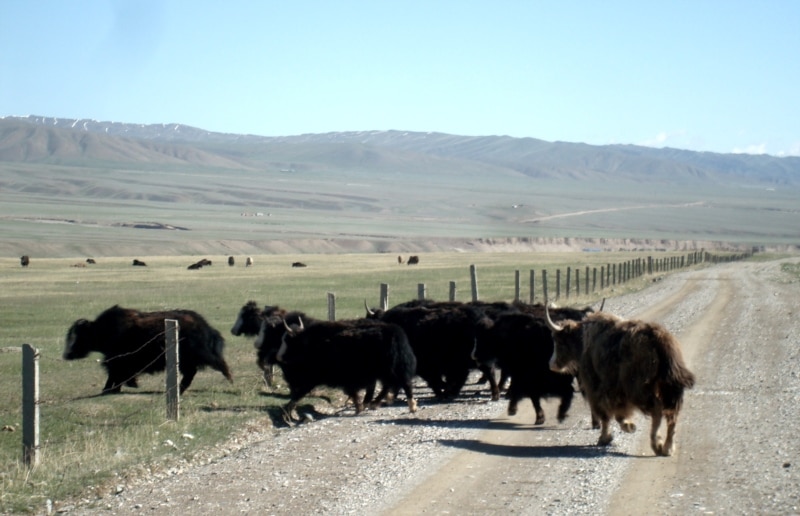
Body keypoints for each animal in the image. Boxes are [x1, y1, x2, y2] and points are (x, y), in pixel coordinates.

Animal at [64, 305, 233, 395]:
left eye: (80, 337)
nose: (67, 355)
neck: (102, 330)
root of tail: (205, 326)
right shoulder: (117, 361)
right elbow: (116, 374)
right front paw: (113, 388)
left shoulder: (118, 359)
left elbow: (115, 373)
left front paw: (111, 389)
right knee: (192, 372)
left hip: (195, 356)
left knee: (215, 364)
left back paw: (229, 379)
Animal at [274, 317, 417, 422]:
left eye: (287, 340)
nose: (278, 357)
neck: (309, 344)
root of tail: (395, 332)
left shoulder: (316, 378)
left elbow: (300, 393)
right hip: (390, 370)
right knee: (395, 384)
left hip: (388, 370)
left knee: (397, 384)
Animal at [545, 306, 696, 456]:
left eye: (558, 340)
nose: (551, 364)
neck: (582, 341)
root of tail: (658, 338)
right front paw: (624, 427)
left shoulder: (597, 388)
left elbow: (606, 414)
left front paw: (611, 435)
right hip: (668, 386)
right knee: (672, 414)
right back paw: (667, 448)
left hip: (639, 389)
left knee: (657, 409)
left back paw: (657, 445)